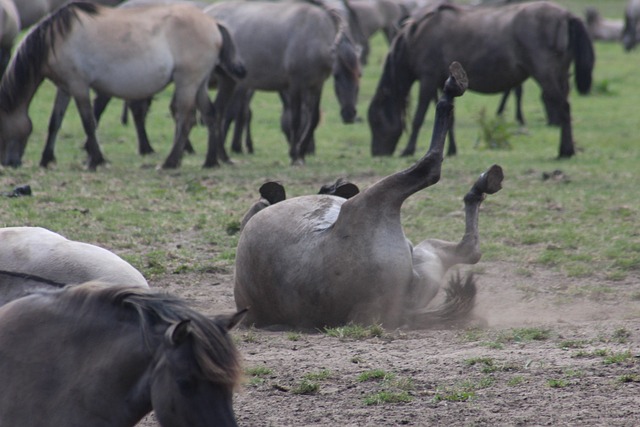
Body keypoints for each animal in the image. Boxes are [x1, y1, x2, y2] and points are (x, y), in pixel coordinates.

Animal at [208, 0, 362, 166]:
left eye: (359, 75)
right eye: (337, 76)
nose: (349, 114)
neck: (314, 35)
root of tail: (207, 12)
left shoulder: (316, 86)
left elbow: (313, 119)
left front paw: (301, 153)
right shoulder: (295, 86)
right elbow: (295, 119)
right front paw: (295, 155)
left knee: (219, 113)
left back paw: (223, 156)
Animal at [235, 61, 504, 330]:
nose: (337, 185)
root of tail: (403, 311)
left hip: (425, 255)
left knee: (469, 250)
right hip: (375, 202)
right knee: (431, 169)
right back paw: (453, 92)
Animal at [368, 1, 596, 159]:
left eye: (376, 121)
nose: (377, 153)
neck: (416, 37)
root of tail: (567, 16)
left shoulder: (427, 80)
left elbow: (418, 118)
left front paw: (408, 149)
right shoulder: (442, 82)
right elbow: (447, 118)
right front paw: (451, 149)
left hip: (546, 74)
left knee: (563, 107)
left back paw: (565, 151)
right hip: (561, 75)